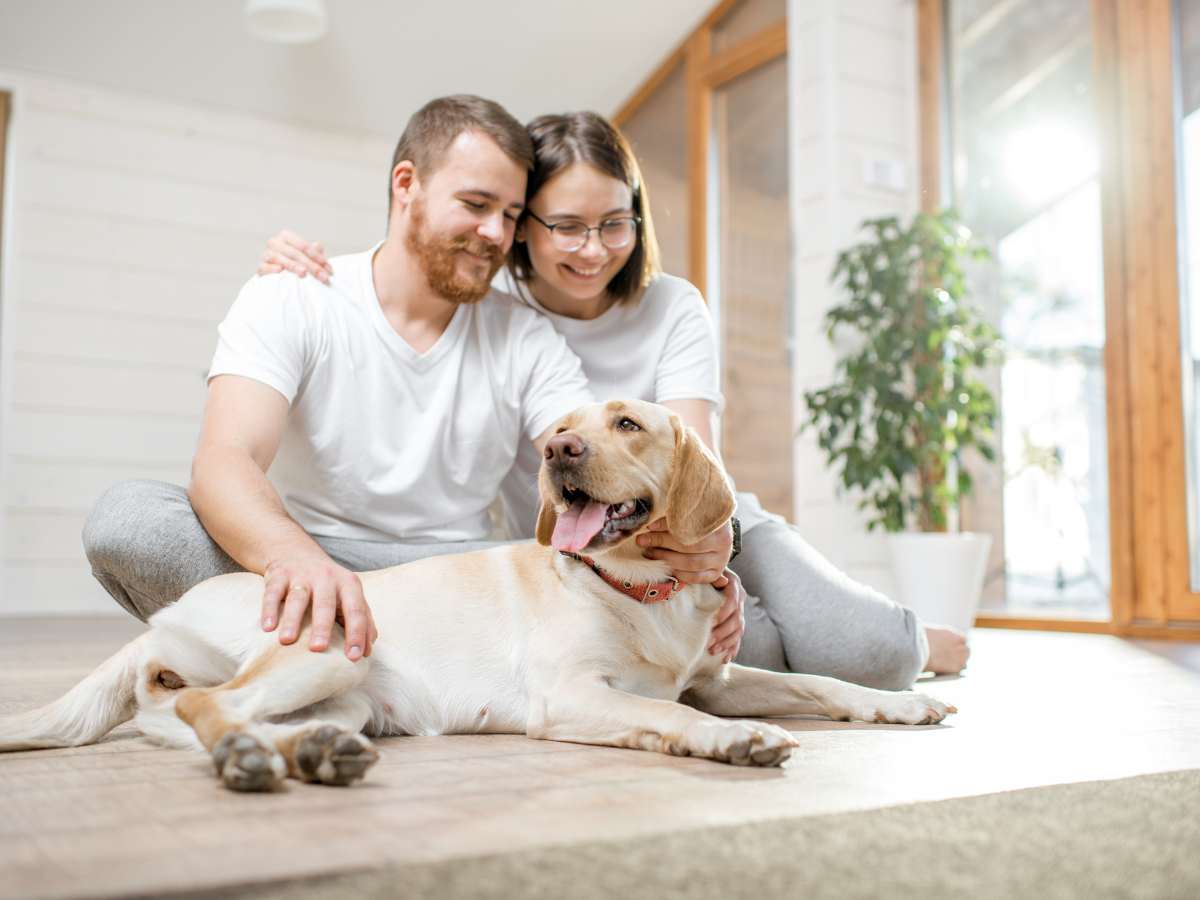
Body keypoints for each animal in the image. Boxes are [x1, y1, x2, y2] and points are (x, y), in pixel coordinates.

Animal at [0, 400, 955, 787]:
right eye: (562, 428)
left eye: (627, 423)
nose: (559, 450)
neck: (636, 589)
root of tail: (160, 624)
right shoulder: (573, 694)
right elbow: (671, 715)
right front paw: (735, 743)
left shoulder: (715, 675)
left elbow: (818, 683)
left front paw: (900, 706)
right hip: (326, 651)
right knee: (210, 707)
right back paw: (257, 762)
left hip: (348, 698)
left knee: (219, 716)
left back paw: (307, 756)